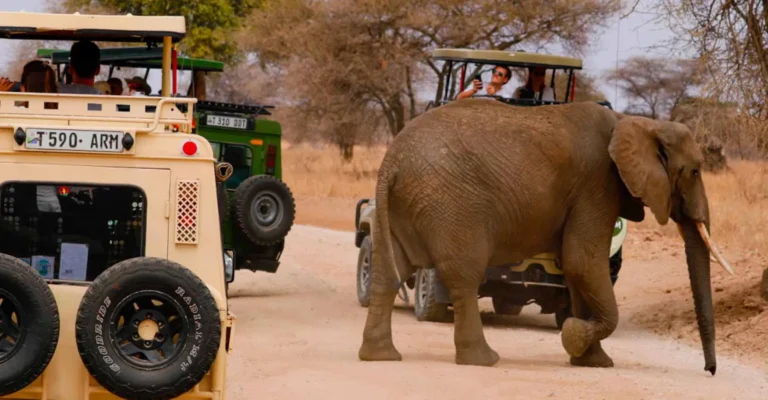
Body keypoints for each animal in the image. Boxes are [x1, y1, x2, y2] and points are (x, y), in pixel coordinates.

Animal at [357, 99, 732, 374]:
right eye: (695, 171)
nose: (709, 370)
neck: (635, 122)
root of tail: (390, 161)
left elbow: (575, 269)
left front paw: (591, 360)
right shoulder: (597, 185)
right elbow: (584, 262)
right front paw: (575, 339)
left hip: (406, 204)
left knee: (387, 272)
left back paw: (380, 357)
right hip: (450, 205)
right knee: (463, 277)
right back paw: (483, 360)